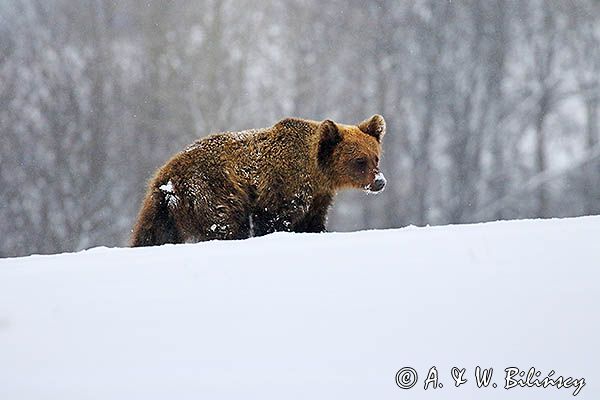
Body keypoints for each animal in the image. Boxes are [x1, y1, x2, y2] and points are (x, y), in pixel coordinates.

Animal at [129, 115, 386, 247]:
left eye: (376, 156)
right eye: (359, 160)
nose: (380, 181)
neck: (317, 173)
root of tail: (166, 179)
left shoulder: (318, 197)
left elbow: (312, 223)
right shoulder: (283, 188)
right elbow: (276, 220)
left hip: (161, 211)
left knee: (152, 235)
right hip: (209, 192)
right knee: (223, 225)